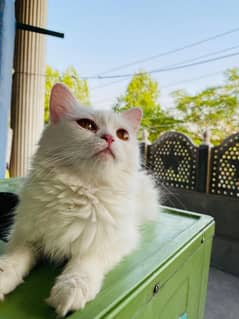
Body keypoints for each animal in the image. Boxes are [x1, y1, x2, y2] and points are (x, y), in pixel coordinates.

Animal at [0, 83, 161, 318]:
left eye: (122, 135)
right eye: (86, 125)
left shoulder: (112, 240)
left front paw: (69, 292)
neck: (81, 191)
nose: (109, 138)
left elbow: (83, 265)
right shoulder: (26, 236)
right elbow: (13, 261)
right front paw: (3, 278)